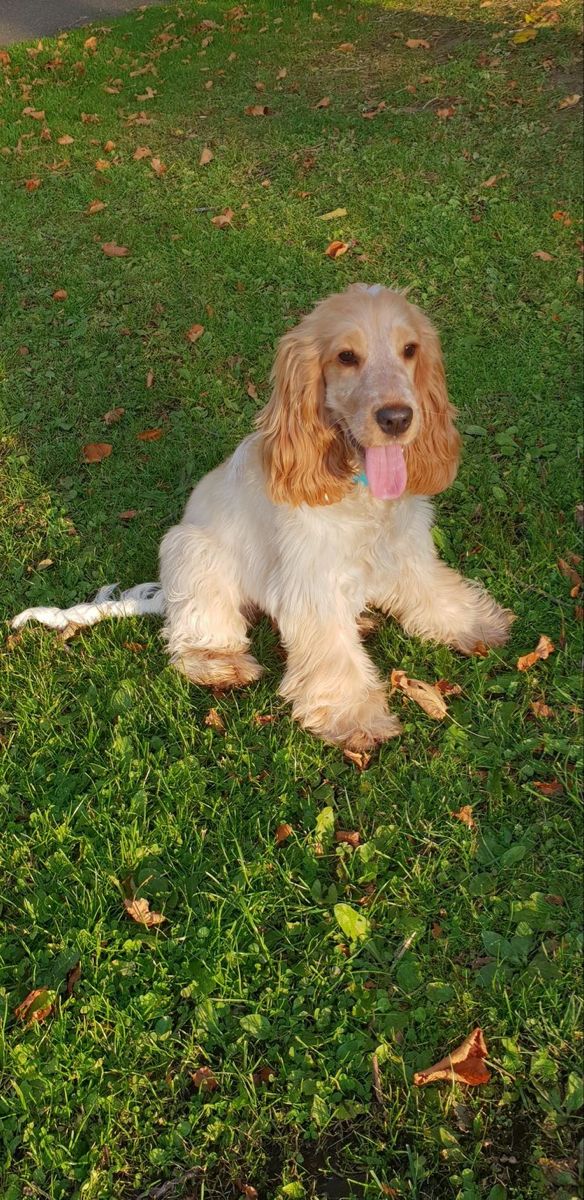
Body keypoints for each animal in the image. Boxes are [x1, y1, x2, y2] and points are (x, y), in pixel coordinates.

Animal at [13, 284, 513, 744]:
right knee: (193, 633)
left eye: (409, 350)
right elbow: (333, 655)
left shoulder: (406, 547)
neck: (357, 485)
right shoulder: (311, 582)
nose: (397, 418)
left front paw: (477, 623)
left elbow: (433, 590)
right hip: (190, 550)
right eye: (346, 356)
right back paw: (220, 664)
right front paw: (354, 719)